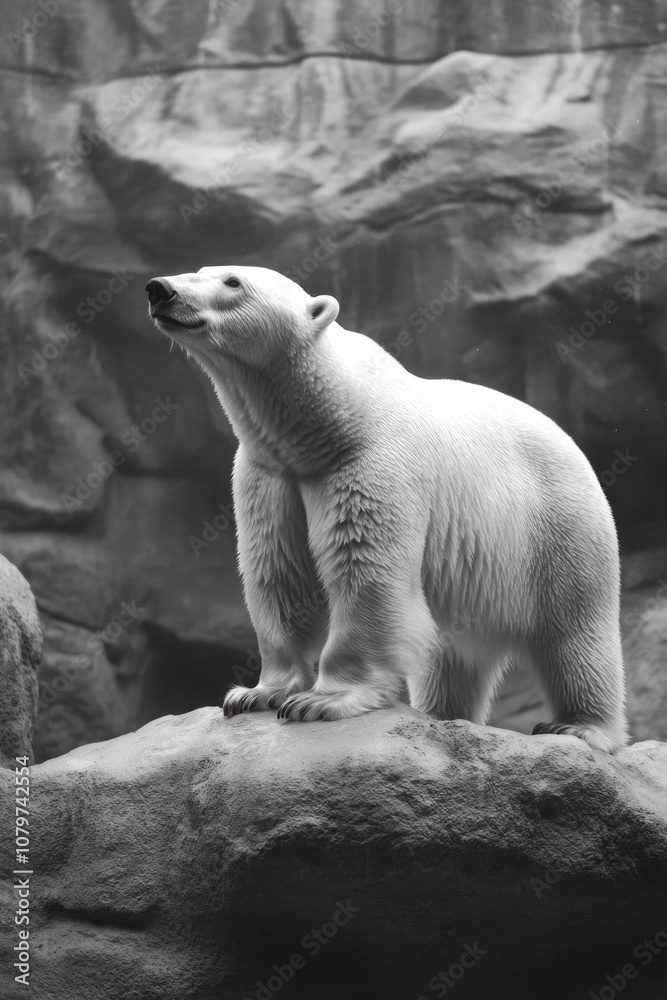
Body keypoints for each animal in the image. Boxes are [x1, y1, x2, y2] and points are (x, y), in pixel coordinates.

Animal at [146, 265, 628, 753]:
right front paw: (255, 694)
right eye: (201, 269)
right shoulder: (270, 473)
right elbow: (279, 572)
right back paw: (441, 714)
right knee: (454, 654)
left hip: (557, 524)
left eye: (232, 282)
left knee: (576, 631)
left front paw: (320, 701)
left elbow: (366, 573)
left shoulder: (373, 462)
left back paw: (578, 726)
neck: (334, 416)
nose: (159, 290)